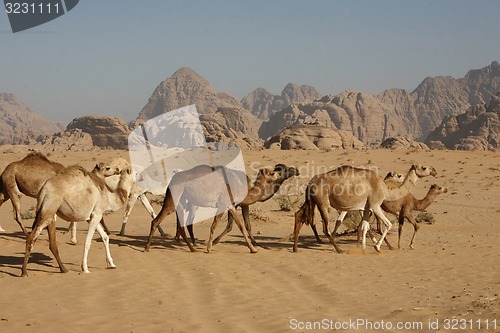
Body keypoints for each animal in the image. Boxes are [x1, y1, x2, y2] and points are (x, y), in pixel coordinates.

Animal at [145, 165, 280, 253]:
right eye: (272, 173)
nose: (279, 174)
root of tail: (172, 180)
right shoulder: (224, 203)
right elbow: (215, 225)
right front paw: (209, 248)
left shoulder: (230, 205)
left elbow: (240, 226)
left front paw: (253, 248)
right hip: (174, 198)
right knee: (156, 220)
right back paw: (146, 248)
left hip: (181, 199)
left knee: (182, 225)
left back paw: (192, 248)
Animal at [294, 163, 436, 252]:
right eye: (424, 167)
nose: (434, 170)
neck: (385, 189)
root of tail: (311, 182)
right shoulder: (375, 205)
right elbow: (388, 224)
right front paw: (377, 247)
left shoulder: (367, 207)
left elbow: (365, 226)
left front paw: (363, 248)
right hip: (323, 202)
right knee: (325, 227)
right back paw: (338, 249)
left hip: (311, 200)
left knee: (299, 215)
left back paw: (295, 248)